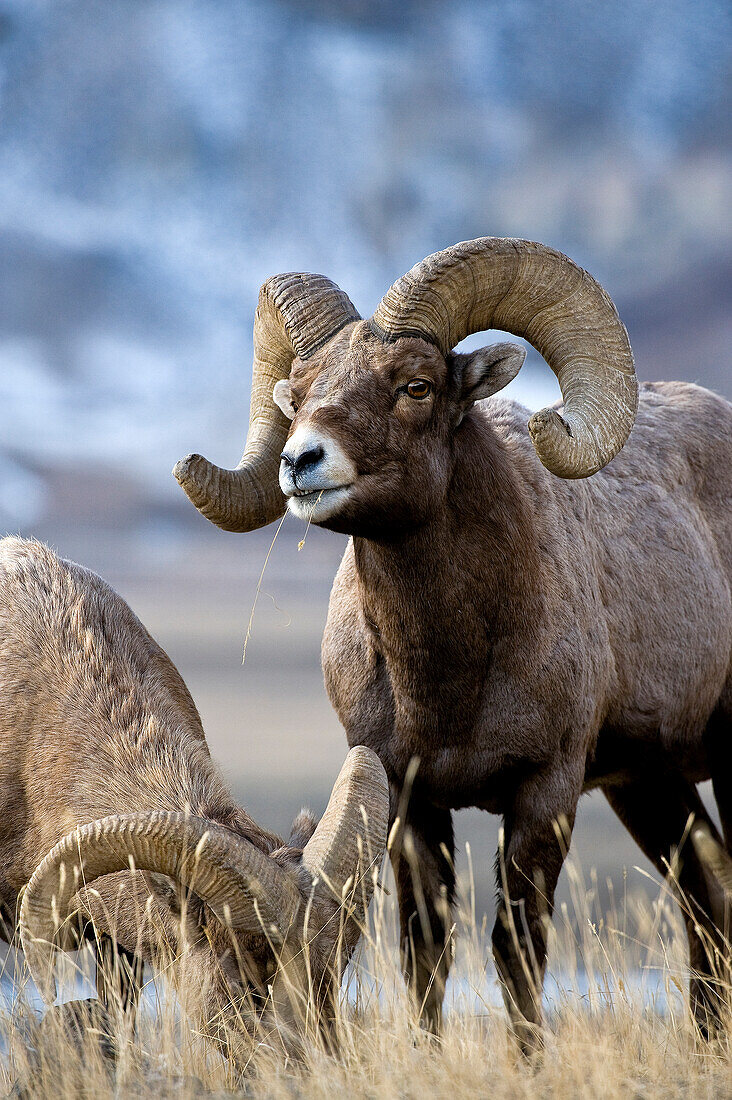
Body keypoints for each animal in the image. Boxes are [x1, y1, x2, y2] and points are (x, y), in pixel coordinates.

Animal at [176, 238, 730, 1047]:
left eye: (417, 385)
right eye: (298, 394)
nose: (300, 462)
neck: (451, 678)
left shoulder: (544, 793)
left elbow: (517, 947)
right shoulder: (409, 799)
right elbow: (425, 950)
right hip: (650, 786)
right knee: (705, 897)